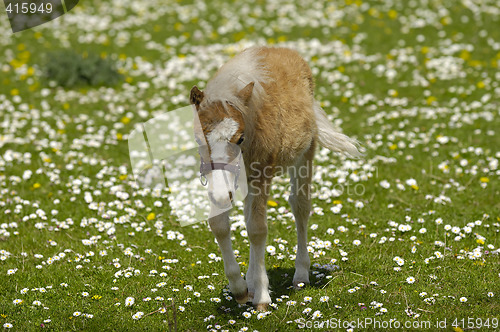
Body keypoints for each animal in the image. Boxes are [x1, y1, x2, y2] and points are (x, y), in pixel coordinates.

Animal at [188, 45, 360, 310]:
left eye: (240, 138)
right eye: (199, 138)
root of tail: (283, 49)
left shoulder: (260, 176)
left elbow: (258, 229)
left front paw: (261, 297)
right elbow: (220, 224)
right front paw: (240, 289)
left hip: (304, 155)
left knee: (300, 206)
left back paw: (300, 275)